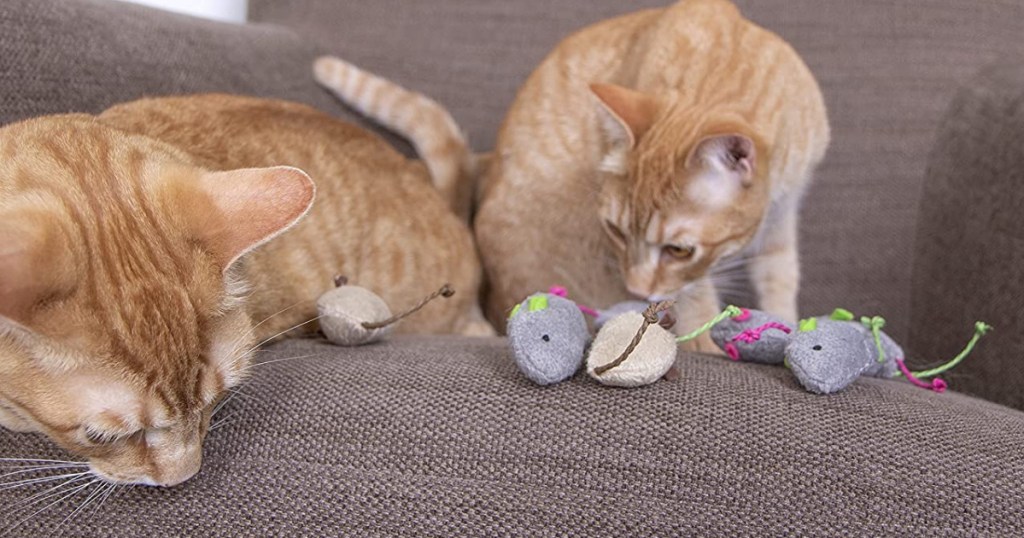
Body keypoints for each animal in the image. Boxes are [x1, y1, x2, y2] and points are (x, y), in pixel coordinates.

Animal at [475, 0, 827, 350]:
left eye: (679, 250)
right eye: (615, 231)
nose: (638, 290)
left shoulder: (782, 214)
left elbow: (779, 276)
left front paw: (785, 327)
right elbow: (696, 301)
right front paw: (709, 346)